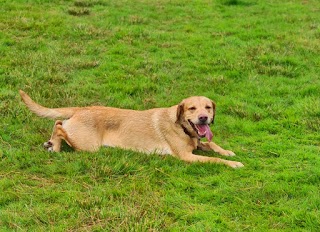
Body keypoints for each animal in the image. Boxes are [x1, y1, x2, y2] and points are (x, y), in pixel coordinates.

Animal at [18, 89, 244, 168]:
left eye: (208, 107)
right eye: (192, 108)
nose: (204, 118)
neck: (181, 126)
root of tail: (83, 108)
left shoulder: (196, 144)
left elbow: (213, 145)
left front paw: (227, 152)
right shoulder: (186, 156)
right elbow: (214, 159)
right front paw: (232, 163)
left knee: (58, 123)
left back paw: (51, 143)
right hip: (88, 145)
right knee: (59, 126)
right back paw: (54, 146)